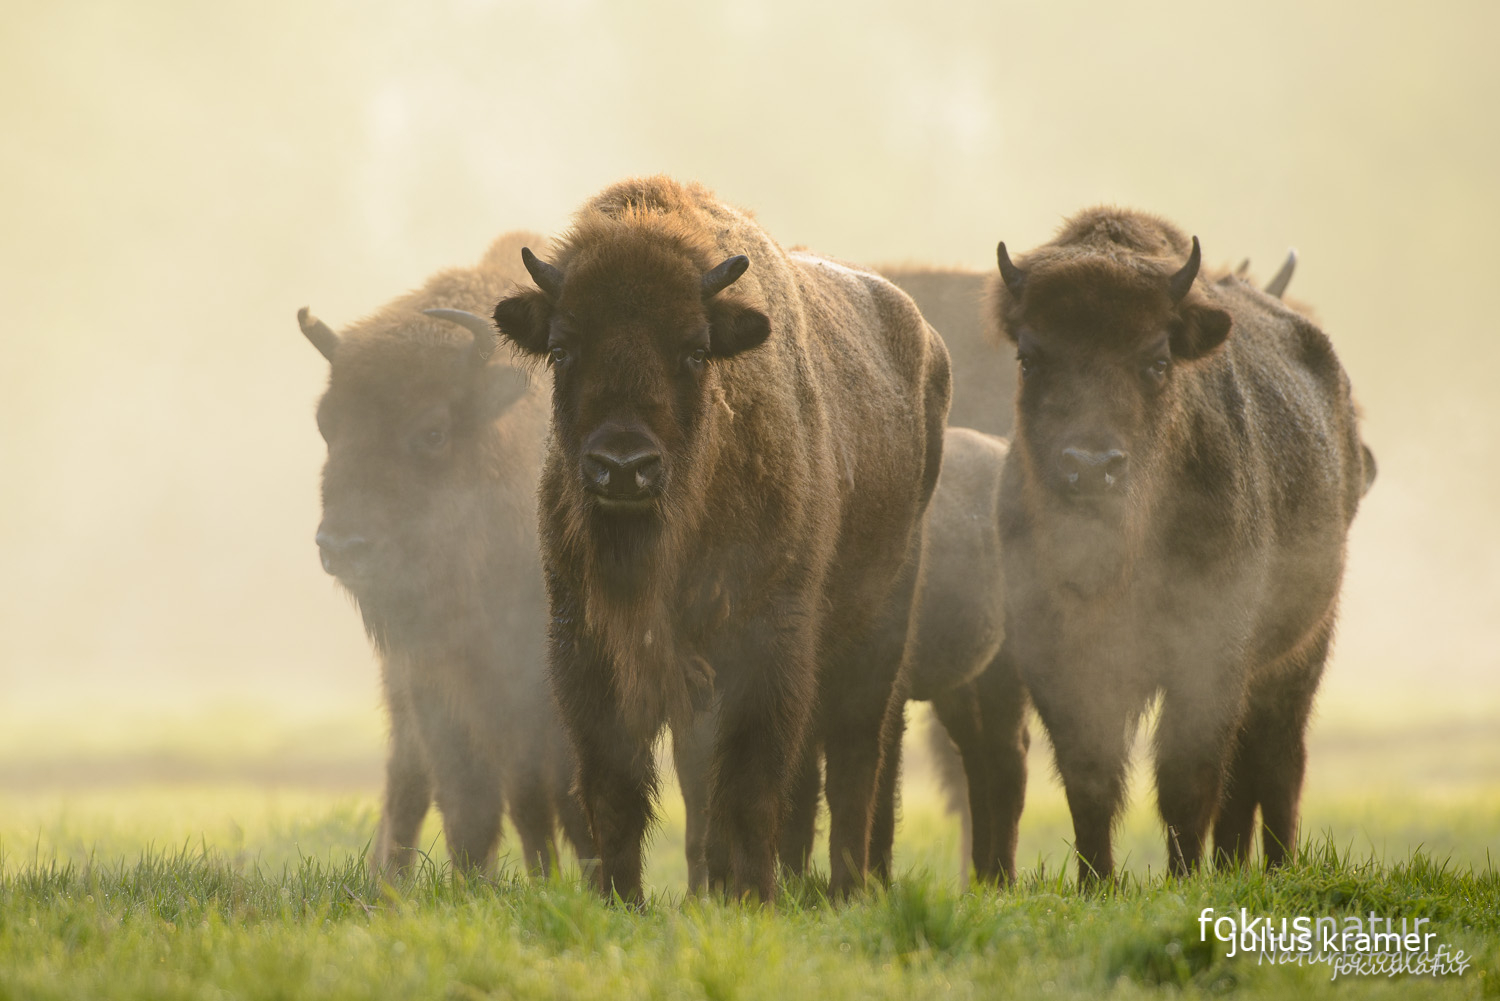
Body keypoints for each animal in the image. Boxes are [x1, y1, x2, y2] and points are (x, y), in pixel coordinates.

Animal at [298, 235, 585, 876]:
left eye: (433, 432)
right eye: (328, 426)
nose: (343, 546)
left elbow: (549, 795)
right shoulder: (435, 680)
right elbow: (469, 803)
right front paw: (475, 883)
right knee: (407, 782)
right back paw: (387, 881)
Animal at [492, 176, 948, 906]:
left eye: (695, 350)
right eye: (562, 350)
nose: (624, 466)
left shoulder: (767, 642)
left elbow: (752, 783)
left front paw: (753, 897)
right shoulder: (587, 643)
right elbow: (616, 785)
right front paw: (622, 898)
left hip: (879, 636)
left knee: (856, 757)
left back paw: (845, 886)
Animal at [990, 210, 1374, 882]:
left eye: (1158, 360)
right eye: (1029, 358)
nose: (1091, 467)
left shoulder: (1209, 655)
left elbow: (1185, 779)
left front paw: (1184, 881)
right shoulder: (1059, 660)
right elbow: (1091, 779)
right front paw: (1096, 886)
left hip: (1300, 652)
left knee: (1279, 763)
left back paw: (1274, 868)